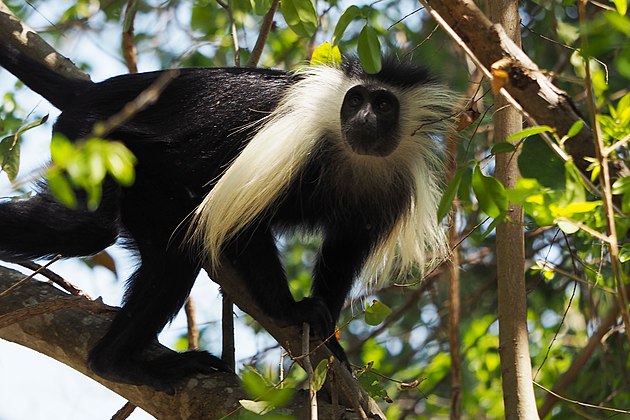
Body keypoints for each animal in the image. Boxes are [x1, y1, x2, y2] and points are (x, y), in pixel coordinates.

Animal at [0, 43, 454, 394]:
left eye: (384, 104)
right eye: (356, 100)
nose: (363, 118)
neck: (353, 155)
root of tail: (99, 92)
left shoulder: (392, 189)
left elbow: (344, 252)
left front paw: (330, 343)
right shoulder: (293, 144)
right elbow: (241, 230)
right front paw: (293, 312)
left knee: (170, 255)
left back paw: (113, 361)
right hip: (90, 138)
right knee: (91, 230)